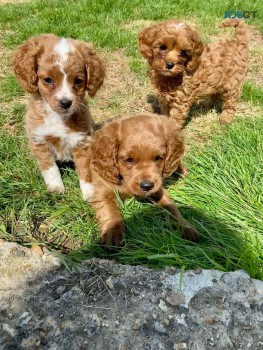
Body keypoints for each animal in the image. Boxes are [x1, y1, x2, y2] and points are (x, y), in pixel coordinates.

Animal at [12, 34, 105, 200]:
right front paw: (56, 188)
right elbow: (50, 168)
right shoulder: (39, 140)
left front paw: (90, 194)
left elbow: (85, 170)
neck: (58, 118)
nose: (65, 102)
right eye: (48, 80)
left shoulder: (82, 141)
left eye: (78, 81)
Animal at [85, 114, 199, 246]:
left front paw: (186, 226)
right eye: (128, 160)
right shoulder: (102, 193)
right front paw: (112, 232)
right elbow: (110, 212)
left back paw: (182, 171)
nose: (147, 186)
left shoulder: (158, 189)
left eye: (158, 158)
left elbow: (171, 208)